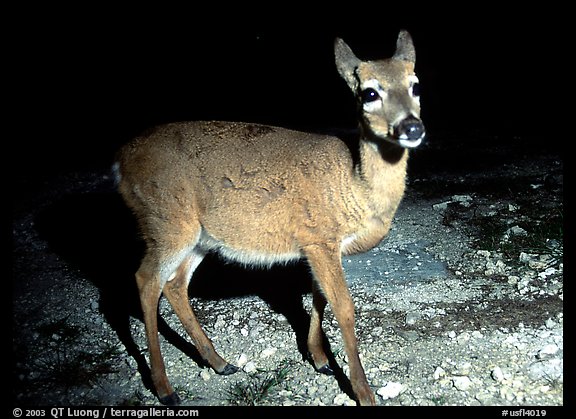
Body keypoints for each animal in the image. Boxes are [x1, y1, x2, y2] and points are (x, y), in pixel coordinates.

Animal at [115, 30, 426, 406]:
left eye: (415, 85)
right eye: (369, 92)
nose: (412, 127)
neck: (355, 185)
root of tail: (120, 164)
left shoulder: (317, 245)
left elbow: (318, 296)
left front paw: (319, 359)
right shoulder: (319, 236)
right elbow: (344, 308)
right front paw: (363, 391)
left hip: (200, 237)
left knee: (174, 285)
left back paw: (220, 363)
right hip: (166, 222)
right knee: (146, 280)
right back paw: (164, 388)